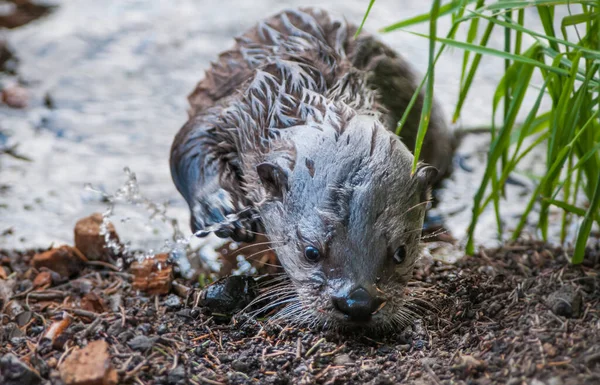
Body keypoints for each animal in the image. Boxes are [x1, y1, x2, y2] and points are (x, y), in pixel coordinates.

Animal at [169, 7, 454, 328]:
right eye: (311, 252)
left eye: (401, 252)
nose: (358, 301)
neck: (293, 90)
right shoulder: (235, 109)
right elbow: (190, 141)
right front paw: (221, 208)